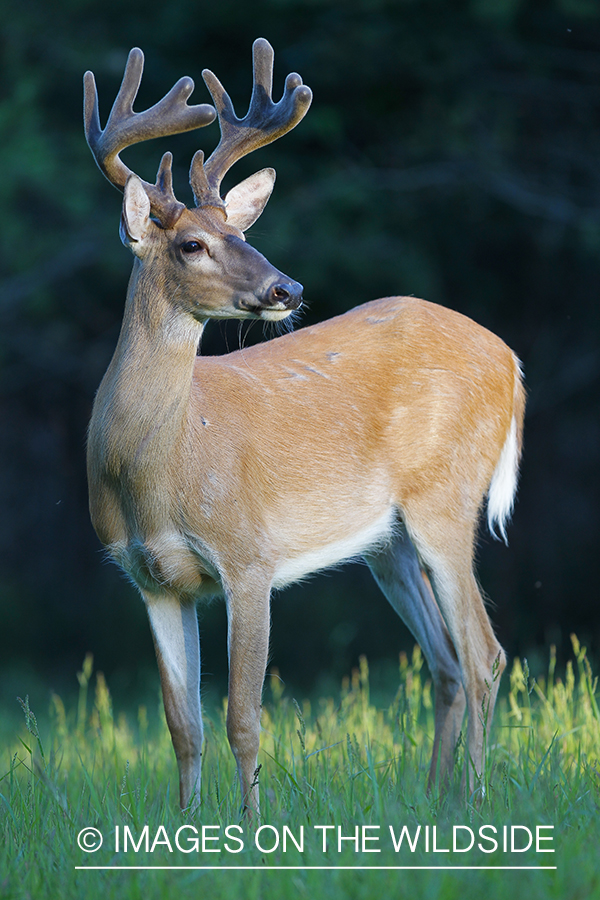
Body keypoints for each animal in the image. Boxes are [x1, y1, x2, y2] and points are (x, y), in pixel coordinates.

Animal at [82, 38, 524, 820]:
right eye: (192, 244)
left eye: (242, 230)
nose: (285, 288)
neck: (157, 467)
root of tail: (511, 360)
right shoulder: (152, 578)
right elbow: (182, 724)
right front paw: (183, 825)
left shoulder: (247, 554)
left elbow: (242, 716)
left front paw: (252, 829)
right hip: (388, 541)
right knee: (444, 661)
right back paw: (433, 800)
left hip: (446, 498)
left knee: (484, 654)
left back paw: (472, 801)